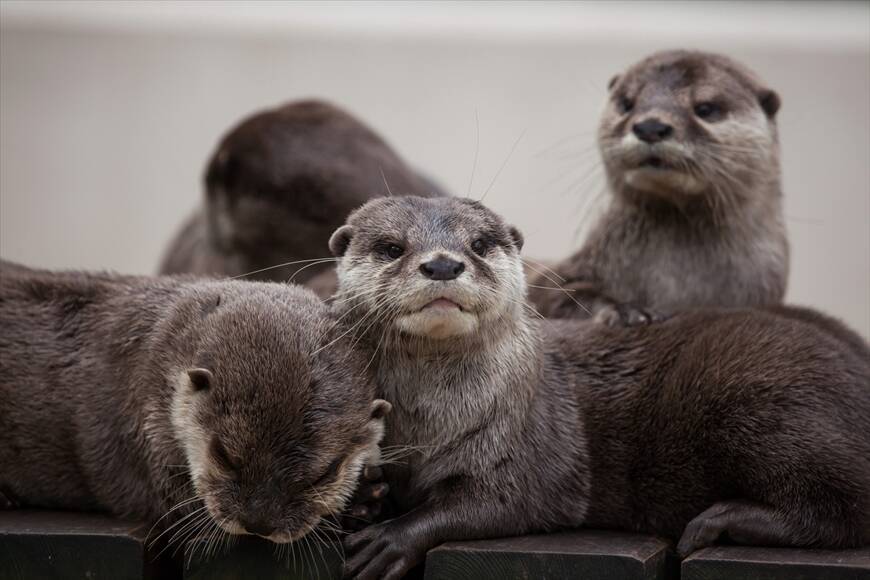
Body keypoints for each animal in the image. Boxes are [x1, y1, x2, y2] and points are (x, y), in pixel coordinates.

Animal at [0, 260, 389, 553]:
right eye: (224, 455)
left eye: (324, 474)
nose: (258, 523)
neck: (155, 356)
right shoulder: (144, 434)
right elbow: (180, 506)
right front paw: (359, 506)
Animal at [328, 197, 869, 580]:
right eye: (391, 247)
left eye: (479, 244)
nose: (442, 265)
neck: (429, 426)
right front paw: (365, 501)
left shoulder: (534, 442)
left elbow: (502, 501)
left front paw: (394, 537)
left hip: (770, 409)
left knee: (845, 506)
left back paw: (720, 522)